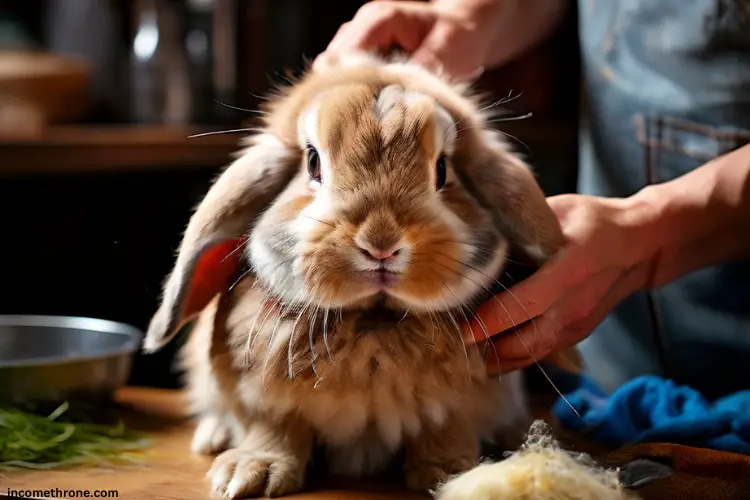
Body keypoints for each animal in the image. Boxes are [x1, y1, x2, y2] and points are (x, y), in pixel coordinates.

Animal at [142, 52, 580, 498]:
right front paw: (251, 474)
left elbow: (446, 431)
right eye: (313, 162)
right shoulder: (265, 398)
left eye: (442, 170)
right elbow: (276, 430)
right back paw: (213, 438)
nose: (380, 244)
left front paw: (449, 473)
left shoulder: (460, 405)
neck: (374, 324)